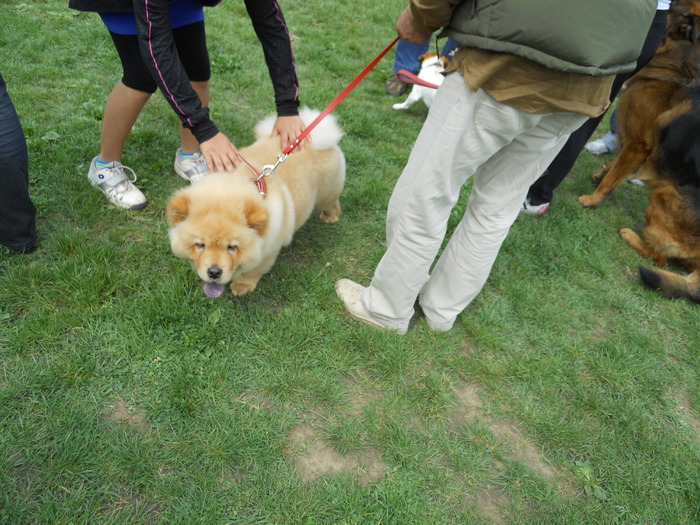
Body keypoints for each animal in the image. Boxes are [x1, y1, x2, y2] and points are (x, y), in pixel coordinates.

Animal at [576, 0, 700, 209]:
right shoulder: (633, 143)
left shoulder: (637, 145)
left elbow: (613, 175)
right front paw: (600, 177)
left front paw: (593, 199)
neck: (678, 66)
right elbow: (614, 167)